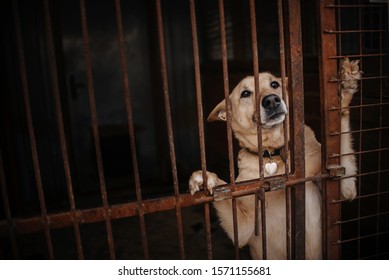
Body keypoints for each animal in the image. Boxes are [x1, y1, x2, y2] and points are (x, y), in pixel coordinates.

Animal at [188, 58, 360, 260]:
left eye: (274, 85)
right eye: (245, 93)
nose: (271, 100)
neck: (272, 154)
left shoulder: (344, 189)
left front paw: (345, 87)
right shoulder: (243, 228)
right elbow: (224, 193)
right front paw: (206, 178)